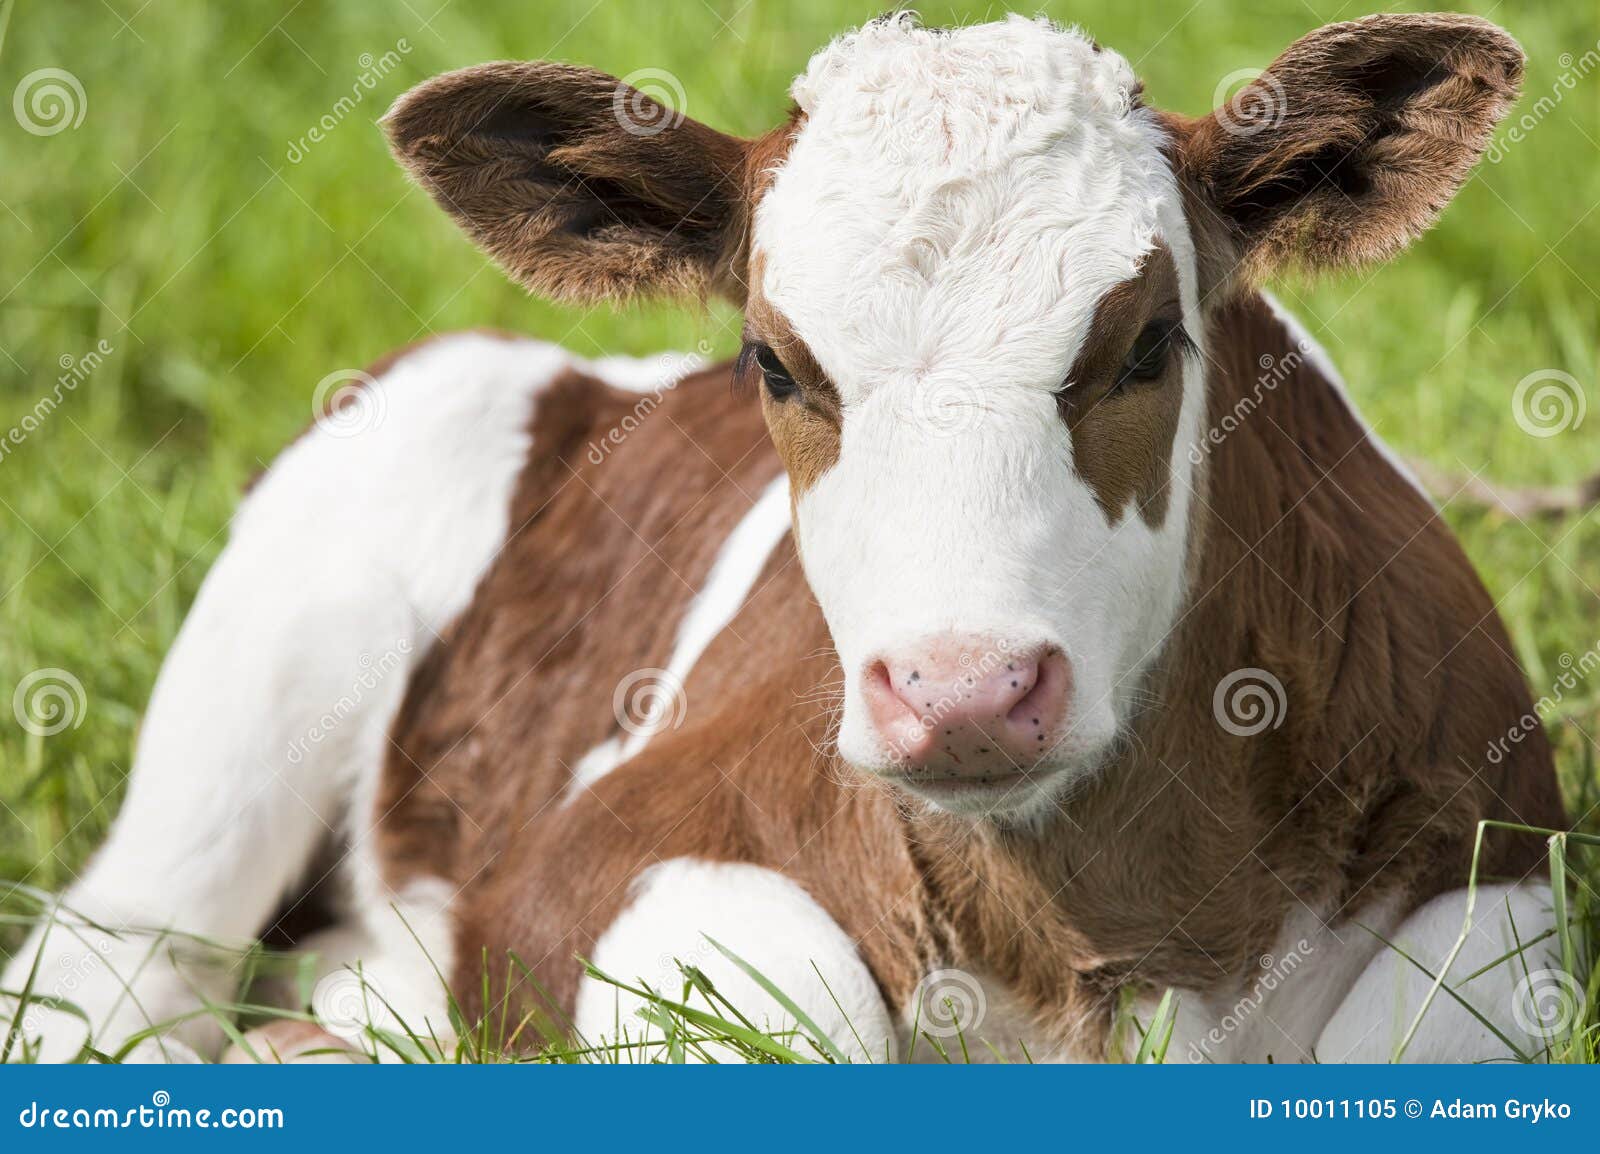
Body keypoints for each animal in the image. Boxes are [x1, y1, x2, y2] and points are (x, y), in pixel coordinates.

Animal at [2, 12, 1573, 1064]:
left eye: (1147, 343)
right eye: (775, 361)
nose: (962, 689)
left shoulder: (1488, 866)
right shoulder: (582, 868)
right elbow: (801, 1007)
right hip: (256, 683)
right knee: (106, 966)